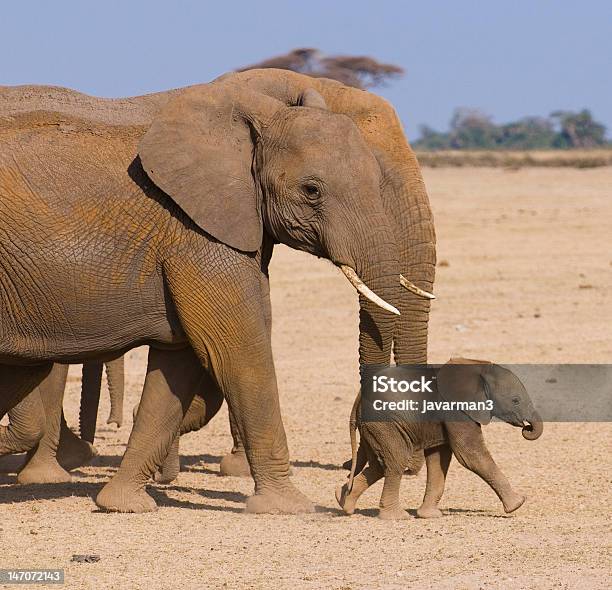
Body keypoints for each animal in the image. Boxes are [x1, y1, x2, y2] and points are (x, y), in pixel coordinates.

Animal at [338, 358, 544, 520]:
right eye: (515, 400)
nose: (527, 427)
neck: (478, 367)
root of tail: (358, 398)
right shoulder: (456, 409)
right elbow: (469, 453)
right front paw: (518, 503)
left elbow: (439, 458)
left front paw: (429, 515)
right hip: (385, 423)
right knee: (396, 461)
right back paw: (397, 517)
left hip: (375, 427)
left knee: (380, 465)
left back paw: (343, 503)